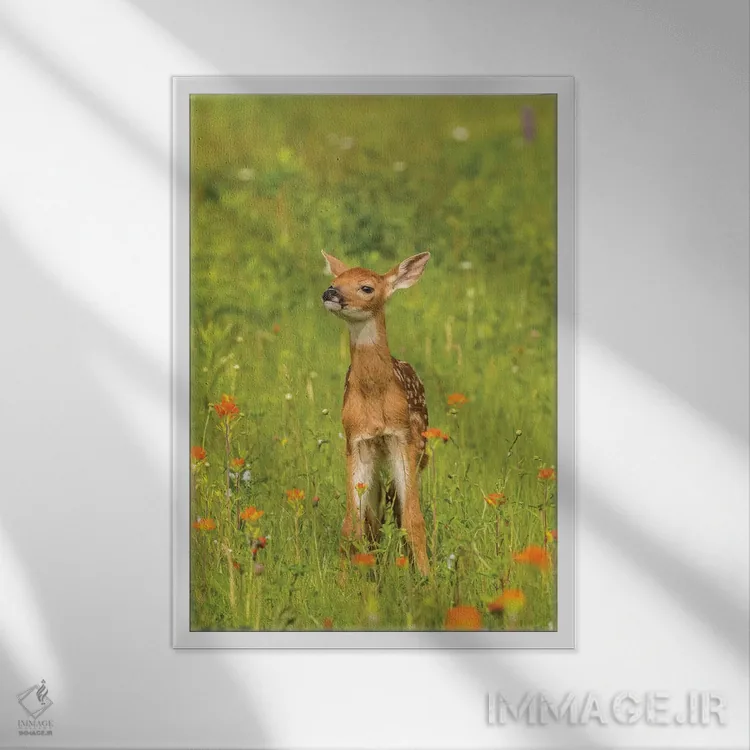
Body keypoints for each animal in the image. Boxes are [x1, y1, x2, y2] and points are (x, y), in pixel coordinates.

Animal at [321, 250, 431, 575]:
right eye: (335, 280)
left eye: (367, 287)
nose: (330, 293)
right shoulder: (356, 441)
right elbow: (352, 523)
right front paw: (345, 580)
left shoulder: (402, 438)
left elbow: (413, 518)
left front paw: (427, 577)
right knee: (374, 516)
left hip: (420, 448)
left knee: (395, 508)